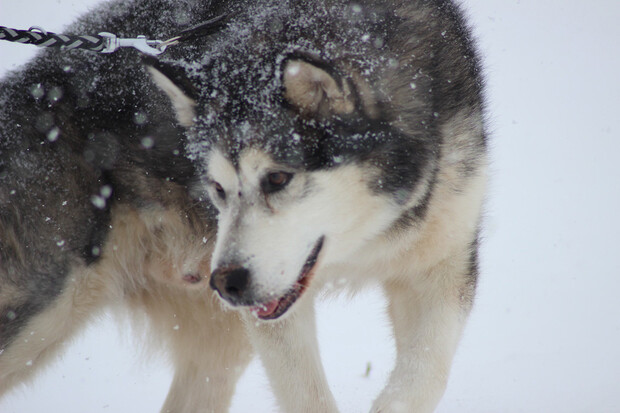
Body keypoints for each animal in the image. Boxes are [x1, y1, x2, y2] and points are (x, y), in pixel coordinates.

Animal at [148, 0, 486, 412]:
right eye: (218, 188)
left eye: (277, 178)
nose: (227, 283)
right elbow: (304, 392)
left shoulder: (443, 260)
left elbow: (426, 373)